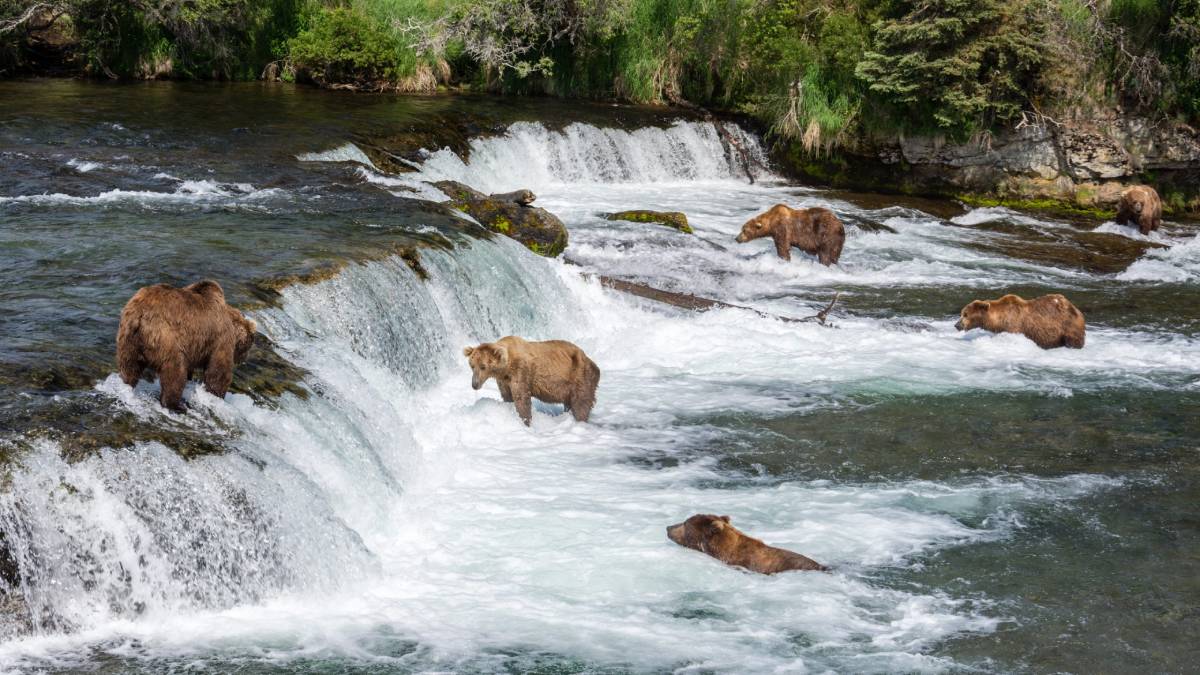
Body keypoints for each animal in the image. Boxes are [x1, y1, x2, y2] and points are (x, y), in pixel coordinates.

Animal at [115, 278, 256, 410]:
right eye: (250, 342)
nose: (245, 358)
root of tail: (140, 314)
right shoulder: (220, 338)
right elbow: (218, 371)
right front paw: (217, 395)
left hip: (128, 339)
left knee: (129, 368)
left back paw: (125, 385)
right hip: (166, 337)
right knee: (174, 372)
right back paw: (176, 405)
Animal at [465, 333, 600, 422]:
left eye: (483, 366)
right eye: (472, 366)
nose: (474, 384)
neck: (506, 367)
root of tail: (591, 361)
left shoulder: (521, 371)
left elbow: (521, 398)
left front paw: (525, 420)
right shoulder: (503, 380)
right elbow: (507, 396)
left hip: (580, 376)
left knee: (581, 403)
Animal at [955, 293, 1089, 348]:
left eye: (965, 314)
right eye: (961, 313)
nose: (957, 325)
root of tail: (1077, 310)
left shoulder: (1014, 326)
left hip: (1068, 325)